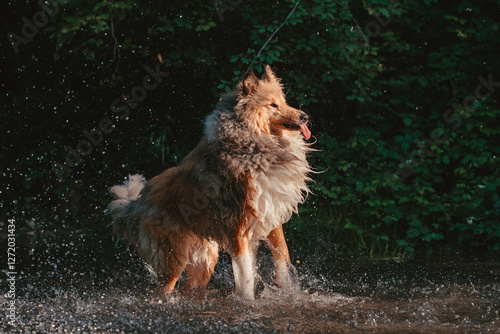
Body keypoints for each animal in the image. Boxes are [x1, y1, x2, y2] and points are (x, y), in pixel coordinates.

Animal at [109, 66, 312, 300]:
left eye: (284, 101)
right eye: (272, 104)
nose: (305, 116)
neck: (253, 143)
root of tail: (137, 203)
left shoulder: (270, 211)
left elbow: (282, 254)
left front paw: (287, 288)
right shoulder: (237, 227)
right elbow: (245, 276)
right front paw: (248, 302)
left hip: (204, 259)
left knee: (190, 287)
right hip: (173, 260)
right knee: (161, 290)